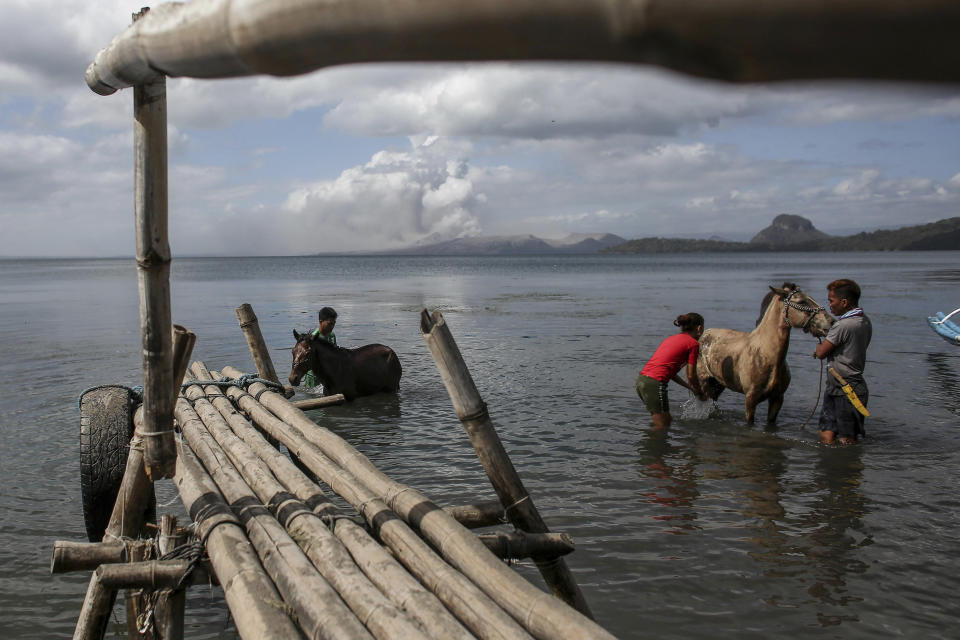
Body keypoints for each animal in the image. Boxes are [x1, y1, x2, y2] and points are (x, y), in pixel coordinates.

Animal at [692, 284, 836, 424]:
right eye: (802, 301)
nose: (831, 321)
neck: (767, 354)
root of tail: (704, 335)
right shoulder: (751, 398)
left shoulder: (777, 398)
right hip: (704, 383)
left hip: (719, 384)